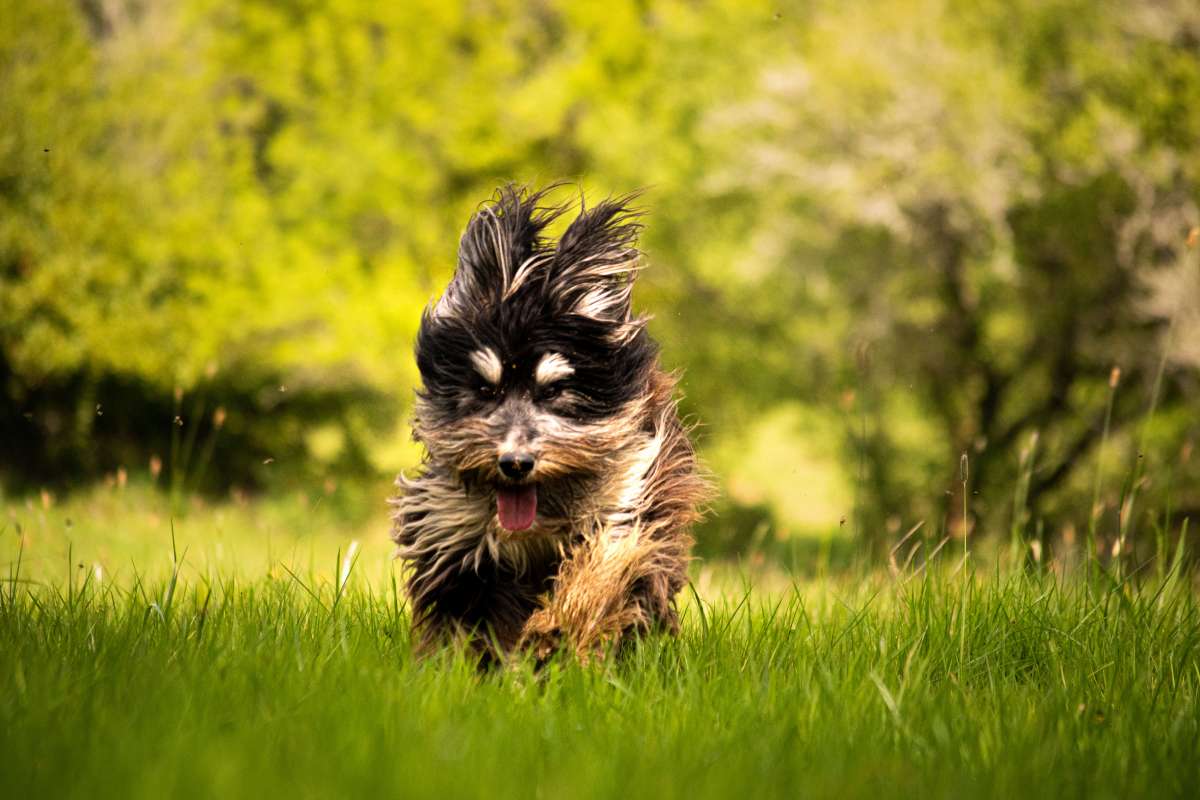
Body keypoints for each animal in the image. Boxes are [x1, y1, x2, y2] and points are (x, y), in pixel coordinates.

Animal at [388, 184, 705, 662]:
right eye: (485, 390)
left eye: (554, 390)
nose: (515, 463)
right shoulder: (454, 534)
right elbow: (467, 610)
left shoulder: (629, 502)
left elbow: (603, 570)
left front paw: (558, 629)